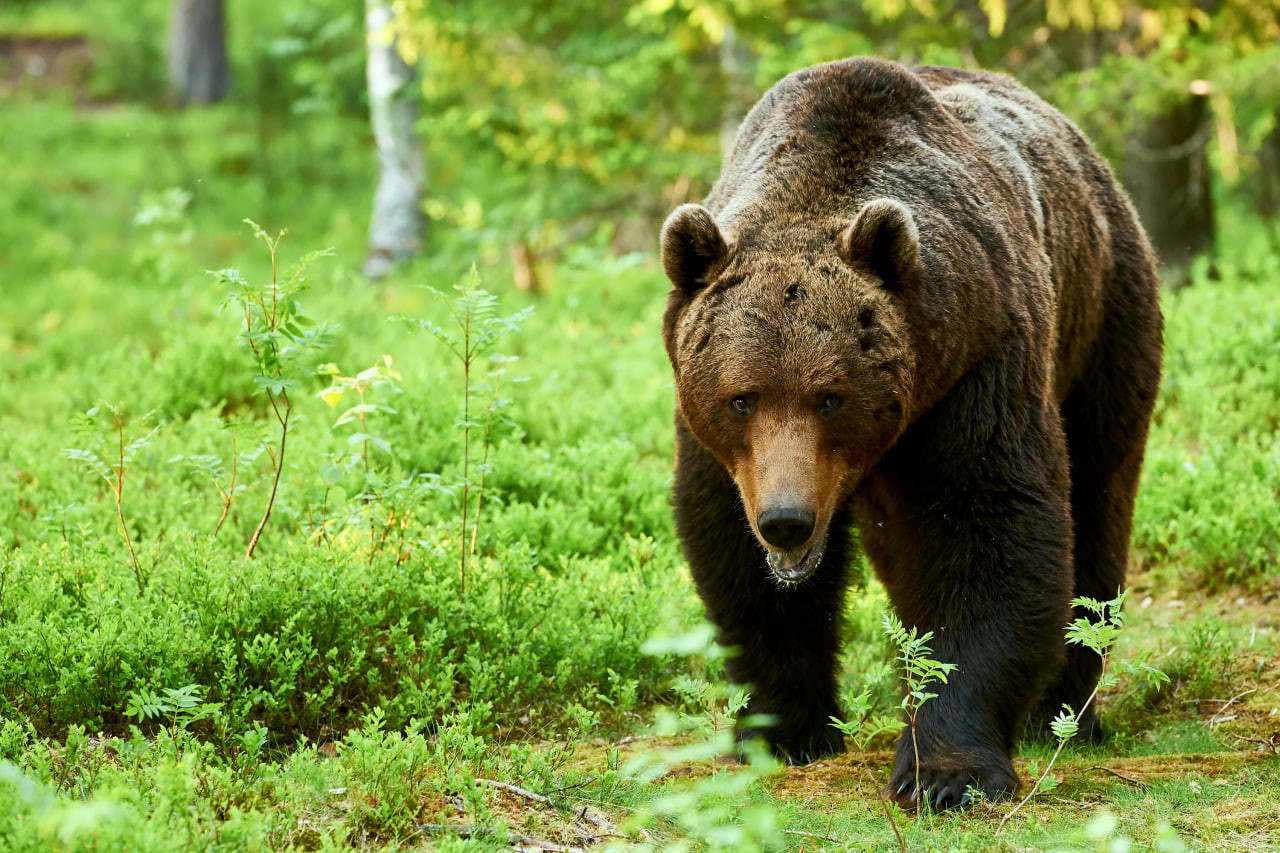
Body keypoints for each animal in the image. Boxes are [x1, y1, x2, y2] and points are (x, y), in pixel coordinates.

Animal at [658, 57, 1163, 810]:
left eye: (830, 396)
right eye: (741, 398)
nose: (786, 520)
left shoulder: (978, 370)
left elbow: (989, 533)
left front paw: (946, 771)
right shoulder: (719, 449)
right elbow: (734, 555)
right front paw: (784, 729)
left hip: (1103, 318)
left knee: (1098, 499)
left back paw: (1064, 712)